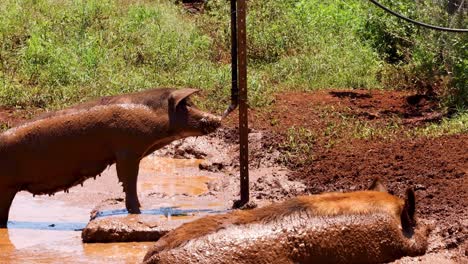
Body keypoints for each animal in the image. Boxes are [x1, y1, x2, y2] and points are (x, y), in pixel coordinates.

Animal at [0, 87, 222, 227]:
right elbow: (128, 180)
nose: (217, 118)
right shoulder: (127, 150)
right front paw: (137, 212)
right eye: (186, 106)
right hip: (6, 186)